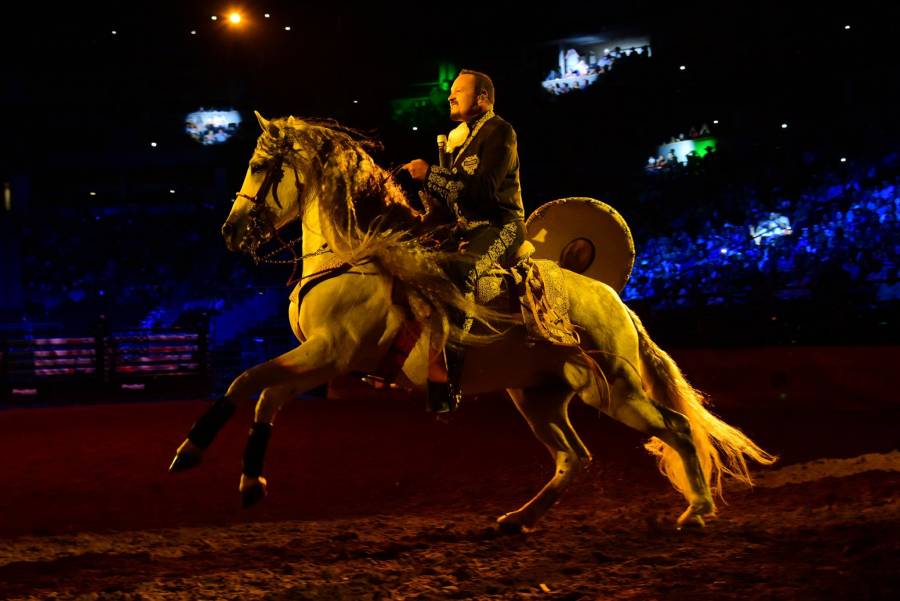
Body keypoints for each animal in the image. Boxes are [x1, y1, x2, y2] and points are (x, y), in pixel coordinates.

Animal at [171, 112, 772, 528]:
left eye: (258, 165)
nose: (230, 231)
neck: (356, 253)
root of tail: (617, 304)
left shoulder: (331, 353)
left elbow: (246, 381)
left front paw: (197, 454)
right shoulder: (322, 360)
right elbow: (264, 393)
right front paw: (244, 478)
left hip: (615, 391)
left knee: (675, 428)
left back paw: (697, 511)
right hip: (538, 398)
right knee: (573, 458)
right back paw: (517, 520)